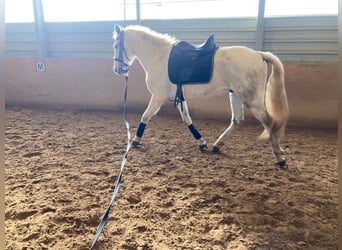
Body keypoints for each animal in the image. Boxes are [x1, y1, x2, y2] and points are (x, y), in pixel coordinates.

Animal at [113, 24, 290, 167]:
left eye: (115, 45)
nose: (117, 70)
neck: (159, 57)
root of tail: (259, 55)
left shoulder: (158, 97)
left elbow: (145, 116)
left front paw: (135, 141)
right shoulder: (179, 98)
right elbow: (187, 120)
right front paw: (202, 143)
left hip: (251, 99)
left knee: (269, 122)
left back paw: (280, 158)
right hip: (236, 95)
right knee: (237, 120)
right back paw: (217, 145)